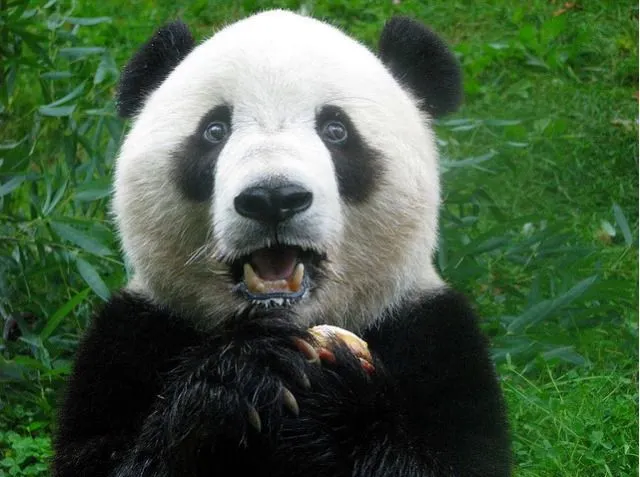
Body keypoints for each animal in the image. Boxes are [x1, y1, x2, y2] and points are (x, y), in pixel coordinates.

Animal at [52, 9, 511, 477]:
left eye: (336, 130)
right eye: (214, 130)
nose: (273, 198)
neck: (284, 317)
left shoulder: (437, 337)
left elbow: (446, 460)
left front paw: (332, 398)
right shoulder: (131, 335)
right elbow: (107, 458)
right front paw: (238, 375)